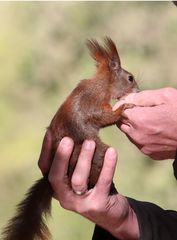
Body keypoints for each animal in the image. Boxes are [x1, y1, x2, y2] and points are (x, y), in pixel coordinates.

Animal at [2, 37, 139, 240]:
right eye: (130, 78)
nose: (138, 90)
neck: (104, 83)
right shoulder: (93, 102)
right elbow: (104, 116)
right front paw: (122, 109)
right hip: (96, 155)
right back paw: (110, 189)